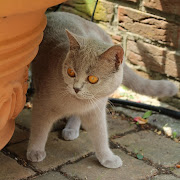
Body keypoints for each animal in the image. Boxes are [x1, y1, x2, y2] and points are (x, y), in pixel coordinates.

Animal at [27, 12, 179, 169]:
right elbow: (39, 130)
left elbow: (101, 136)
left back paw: (71, 129)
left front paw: (107, 158)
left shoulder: (96, 111)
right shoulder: (42, 105)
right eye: (70, 72)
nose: (76, 88)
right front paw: (35, 152)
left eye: (93, 79)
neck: (77, 103)